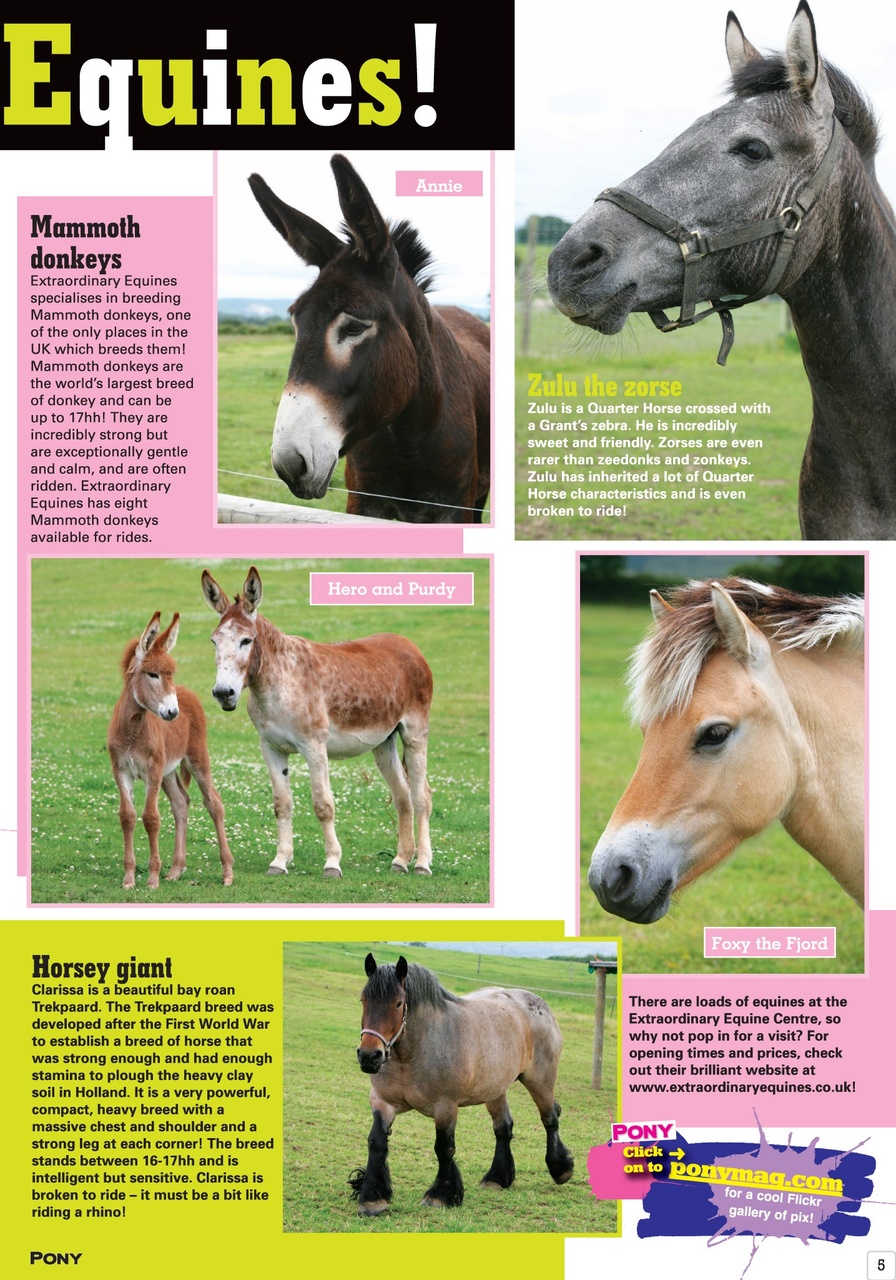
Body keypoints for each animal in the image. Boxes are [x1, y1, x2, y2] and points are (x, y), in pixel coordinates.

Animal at [107, 613, 233, 891]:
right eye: (152, 674)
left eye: (172, 673)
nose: (172, 713)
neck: (133, 730)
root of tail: (187, 693)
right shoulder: (122, 770)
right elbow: (127, 817)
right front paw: (129, 878)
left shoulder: (152, 771)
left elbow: (151, 818)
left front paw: (153, 878)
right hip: (169, 771)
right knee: (180, 803)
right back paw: (176, 870)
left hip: (196, 758)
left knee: (214, 803)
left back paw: (227, 871)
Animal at [201, 567, 434, 878]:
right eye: (214, 641)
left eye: (246, 641)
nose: (223, 694)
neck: (280, 682)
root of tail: (408, 643)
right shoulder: (270, 747)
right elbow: (282, 804)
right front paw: (279, 861)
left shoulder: (314, 746)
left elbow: (323, 805)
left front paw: (332, 863)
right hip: (384, 741)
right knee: (402, 795)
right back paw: (401, 860)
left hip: (414, 733)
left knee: (421, 796)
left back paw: (422, 863)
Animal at [248, 154, 490, 523]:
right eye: (295, 320)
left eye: (354, 328)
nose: (289, 464)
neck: (407, 440)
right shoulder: (363, 504)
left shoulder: (456, 507)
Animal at [349, 954, 574, 1215]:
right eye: (363, 1000)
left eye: (398, 1003)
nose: (369, 1056)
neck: (414, 1053)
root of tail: (540, 1004)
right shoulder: (382, 1102)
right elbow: (376, 1142)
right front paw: (372, 1198)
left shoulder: (445, 1107)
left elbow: (444, 1148)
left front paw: (440, 1195)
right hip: (495, 1089)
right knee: (503, 1127)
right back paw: (497, 1178)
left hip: (540, 1081)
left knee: (550, 1118)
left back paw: (561, 1169)